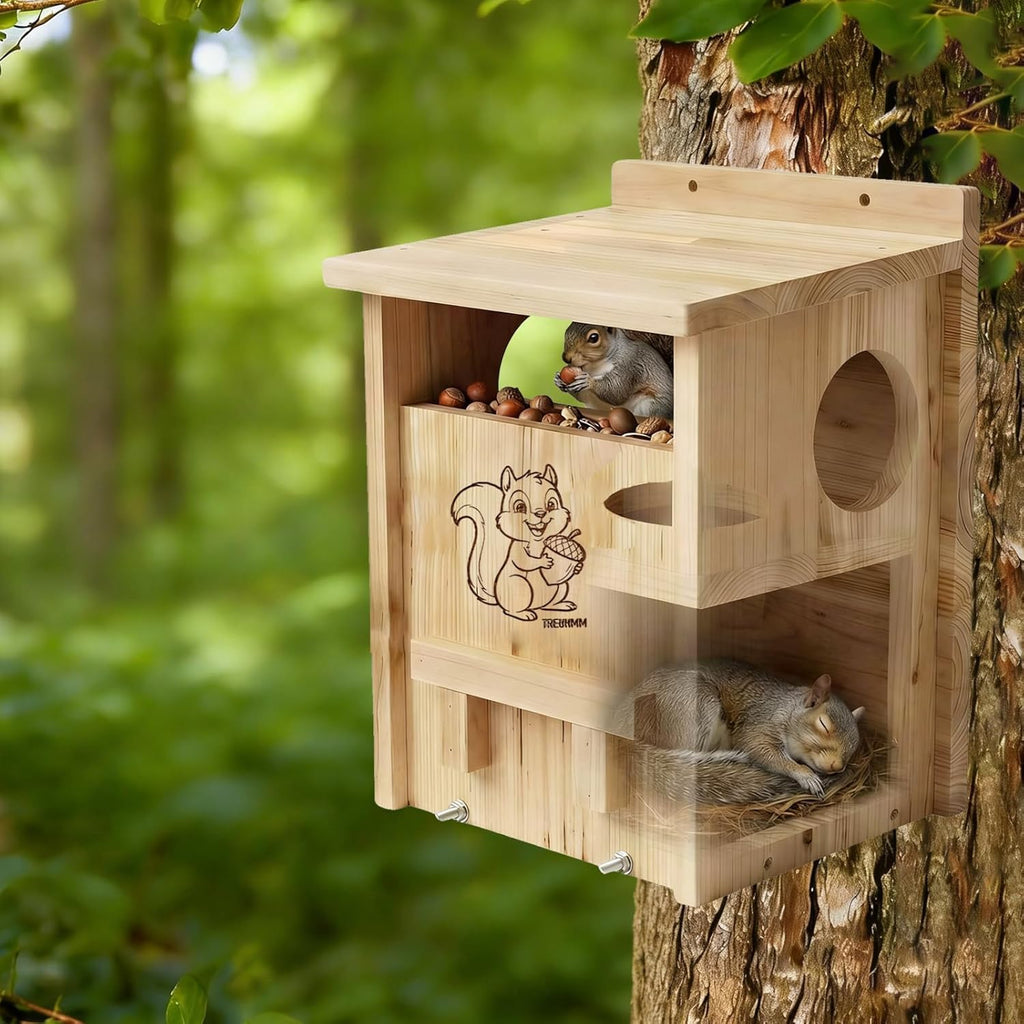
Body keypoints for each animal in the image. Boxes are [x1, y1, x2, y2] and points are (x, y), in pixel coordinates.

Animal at [451, 464, 585, 622]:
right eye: (520, 507)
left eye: (551, 505)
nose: (540, 513)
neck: (537, 541)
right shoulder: (516, 547)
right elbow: (524, 561)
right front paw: (543, 561)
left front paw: (578, 567)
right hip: (518, 585)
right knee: (510, 610)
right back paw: (524, 613)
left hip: (561, 587)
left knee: (549, 603)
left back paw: (561, 605)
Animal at [615, 659, 865, 804]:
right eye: (823, 724)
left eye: (854, 746)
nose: (836, 767)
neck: (786, 707)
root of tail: (621, 730)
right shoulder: (759, 724)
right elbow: (761, 749)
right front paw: (805, 775)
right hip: (697, 704)